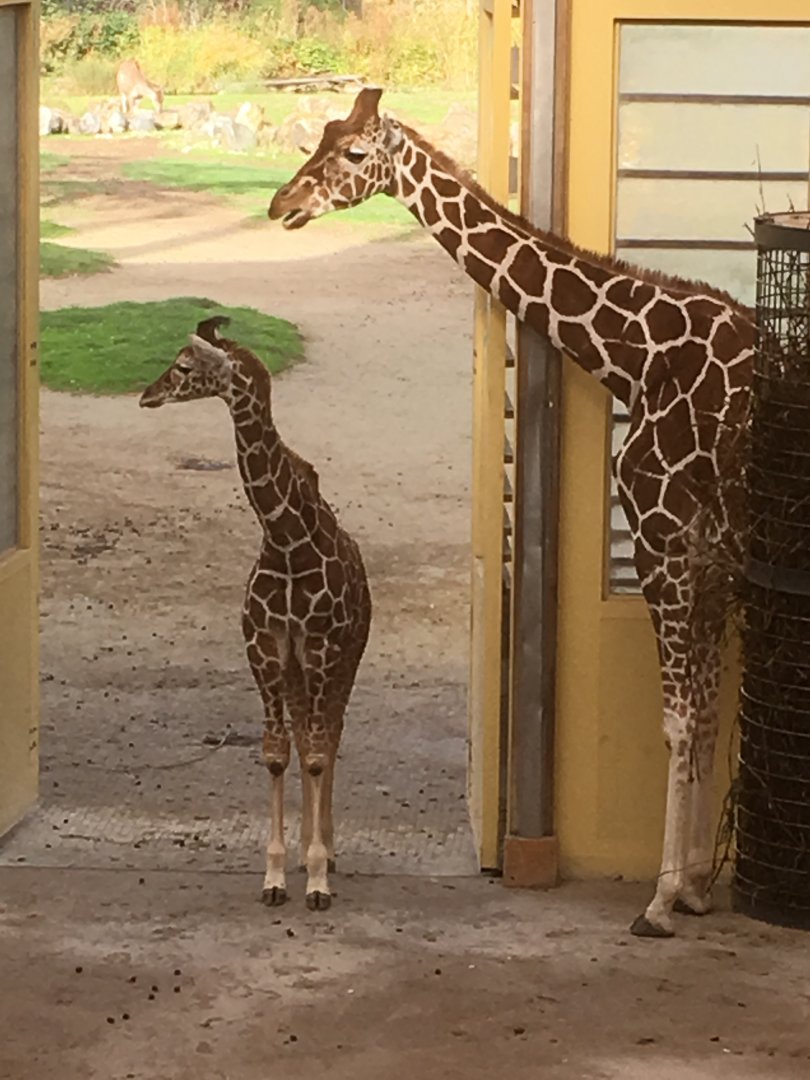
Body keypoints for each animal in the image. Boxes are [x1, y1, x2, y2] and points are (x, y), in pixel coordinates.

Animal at [139, 316, 372, 910]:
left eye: (183, 367)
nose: (147, 395)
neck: (286, 541)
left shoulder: (321, 647)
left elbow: (317, 755)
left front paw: (318, 881)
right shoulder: (266, 647)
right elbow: (277, 754)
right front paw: (276, 876)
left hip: (346, 656)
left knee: (331, 736)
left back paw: (328, 850)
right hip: (295, 669)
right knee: (309, 736)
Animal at [267, 87, 755, 937]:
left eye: (355, 152)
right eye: (321, 135)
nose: (281, 204)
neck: (641, 356)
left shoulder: (663, 538)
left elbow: (681, 717)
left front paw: (660, 901)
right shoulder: (708, 558)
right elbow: (706, 711)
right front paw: (695, 886)